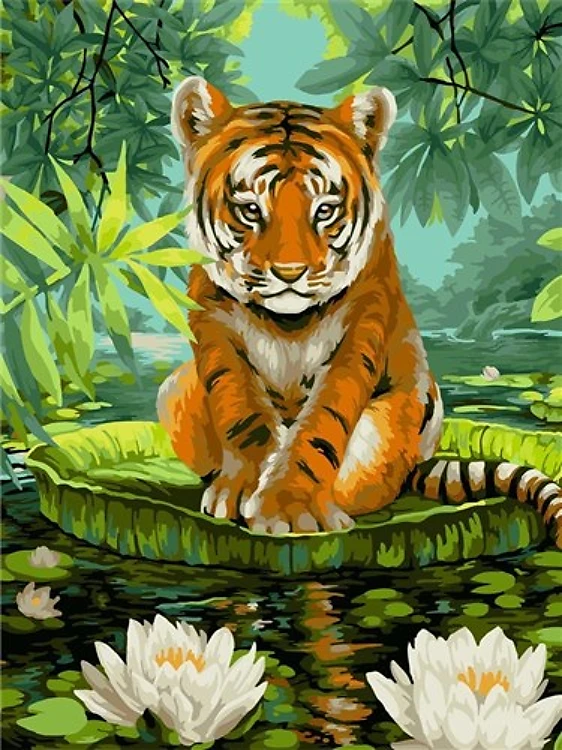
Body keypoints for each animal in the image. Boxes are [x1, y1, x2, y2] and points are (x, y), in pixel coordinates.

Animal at [157, 75, 562, 548]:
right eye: (251, 210)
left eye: (324, 211)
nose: (290, 273)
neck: (288, 322)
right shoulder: (215, 326)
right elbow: (242, 411)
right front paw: (240, 491)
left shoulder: (360, 328)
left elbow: (321, 425)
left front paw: (289, 509)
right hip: (172, 389)